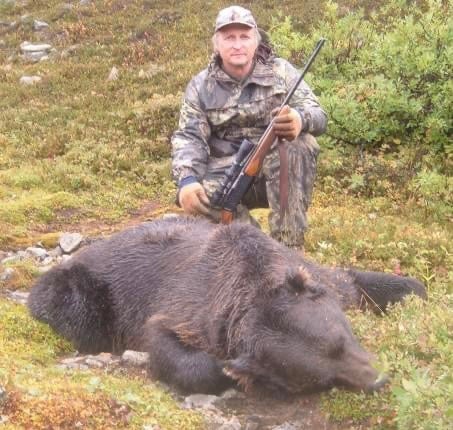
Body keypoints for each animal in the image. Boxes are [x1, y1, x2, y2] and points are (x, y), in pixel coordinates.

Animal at [27, 218, 424, 396]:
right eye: (324, 380)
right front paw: (228, 372)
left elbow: (358, 282)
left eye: (341, 340)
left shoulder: (316, 275)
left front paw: (411, 292)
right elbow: (165, 342)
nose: (379, 378)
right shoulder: (188, 310)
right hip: (82, 289)